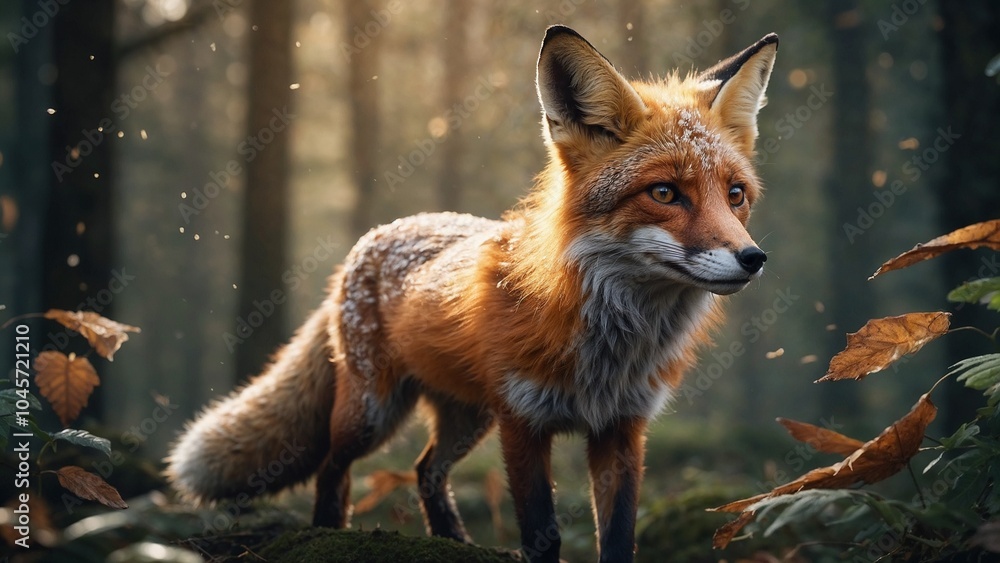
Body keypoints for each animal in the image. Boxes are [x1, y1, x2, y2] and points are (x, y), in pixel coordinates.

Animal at [167, 25, 778, 563]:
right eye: (664, 193)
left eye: (736, 195)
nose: (753, 258)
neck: (608, 345)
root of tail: (373, 238)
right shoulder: (522, 423)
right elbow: (543, 535)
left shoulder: (623, 428)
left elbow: (619, 538)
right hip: (374, 412)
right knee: (332, 470)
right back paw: (326, 534)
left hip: (467, 416)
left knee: (425, 471)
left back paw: (454, 540)